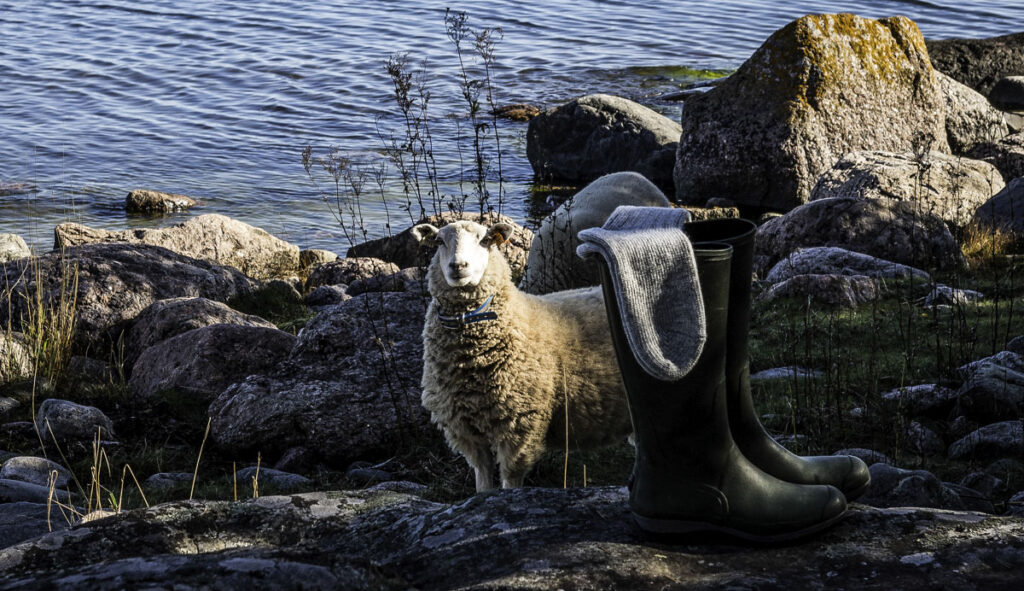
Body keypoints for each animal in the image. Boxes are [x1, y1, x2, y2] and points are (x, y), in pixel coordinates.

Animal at [411, 219, 632, 492]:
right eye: (440, 241)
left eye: (485, 240)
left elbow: (511, 482)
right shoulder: (465, 431)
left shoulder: (520, 426)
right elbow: (483, 482)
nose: (458, 266)